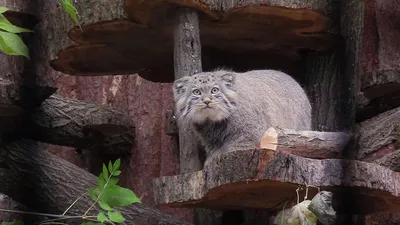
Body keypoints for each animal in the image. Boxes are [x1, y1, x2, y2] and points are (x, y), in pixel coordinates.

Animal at [173, 68, 312, 162]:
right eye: (196, 92)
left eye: (215, 90)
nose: (207, 101)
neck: (215, 122)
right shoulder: (211, 142)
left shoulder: (250, 135)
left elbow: (233, 149)